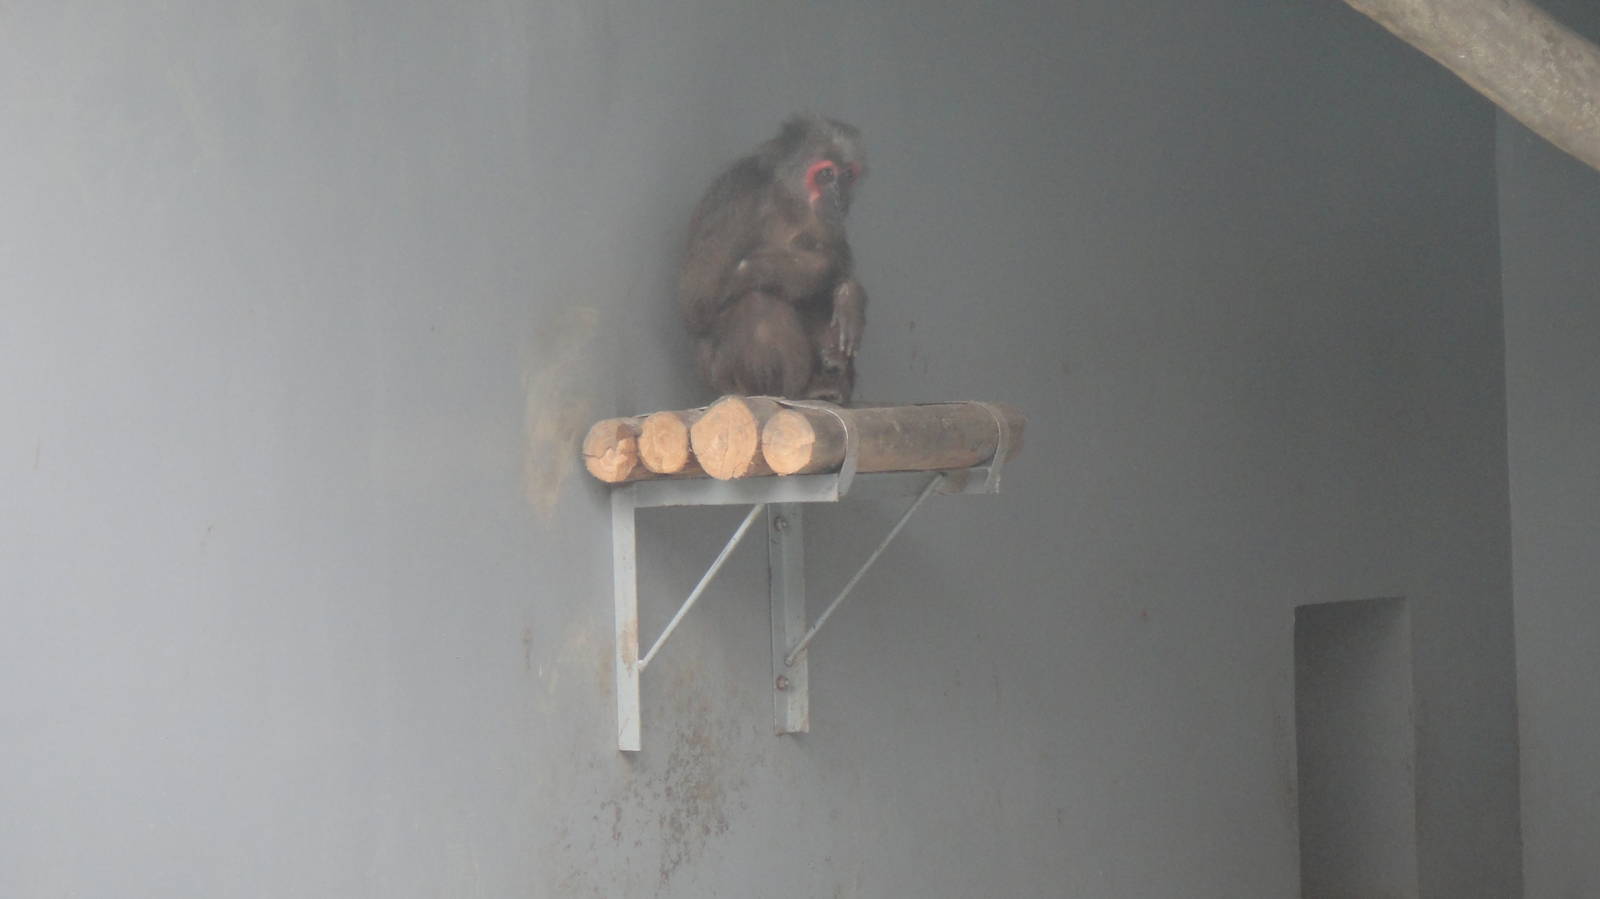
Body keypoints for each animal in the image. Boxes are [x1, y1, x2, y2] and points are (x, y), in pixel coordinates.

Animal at [678, 115, 868, 404]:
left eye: (847, 175)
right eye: (826, 174)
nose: (840, 195)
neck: (788, 202)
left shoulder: (829, 222)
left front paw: (849, 294)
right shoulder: (736, 198)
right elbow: (698, 303)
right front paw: (831, 271)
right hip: (723, 378)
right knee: (759, 303)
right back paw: (793, 391)